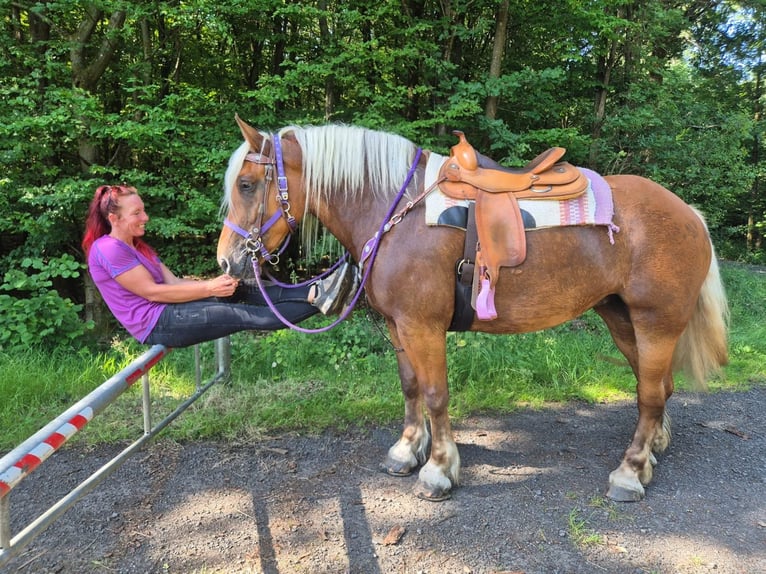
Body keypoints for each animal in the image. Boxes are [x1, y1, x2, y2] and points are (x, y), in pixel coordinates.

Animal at [217, 115, 729, 502]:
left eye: (246, 184)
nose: (227, 261)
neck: (394, 211)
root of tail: (689, 213)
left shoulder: (423, 325)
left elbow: (436, 394)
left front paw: (439, 470)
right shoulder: (398, 326)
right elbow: (410, 388)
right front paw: (407, 451)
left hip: (656, 322)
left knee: (650, 395)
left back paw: (630, 473)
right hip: (622, 318)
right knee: (656, 386)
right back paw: (653, 451)